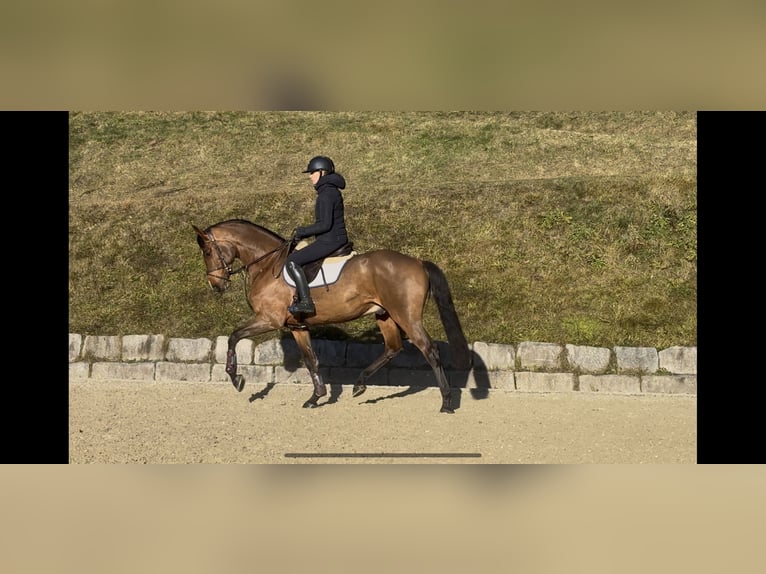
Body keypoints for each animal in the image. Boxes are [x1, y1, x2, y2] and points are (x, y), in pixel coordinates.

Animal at [193, 219, 471, 413]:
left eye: (207, 252)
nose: (215, 285)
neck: (267, 265)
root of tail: (417, 262)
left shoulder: (268, 319)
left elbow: (234, 336)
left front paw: (236, 377)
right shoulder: (298, 327)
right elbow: (311, 360)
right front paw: (315, 397)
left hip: (406, 316)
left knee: (429, 350)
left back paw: (446, 402)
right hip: (385, 315)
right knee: (393, 348)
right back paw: (359, 384)